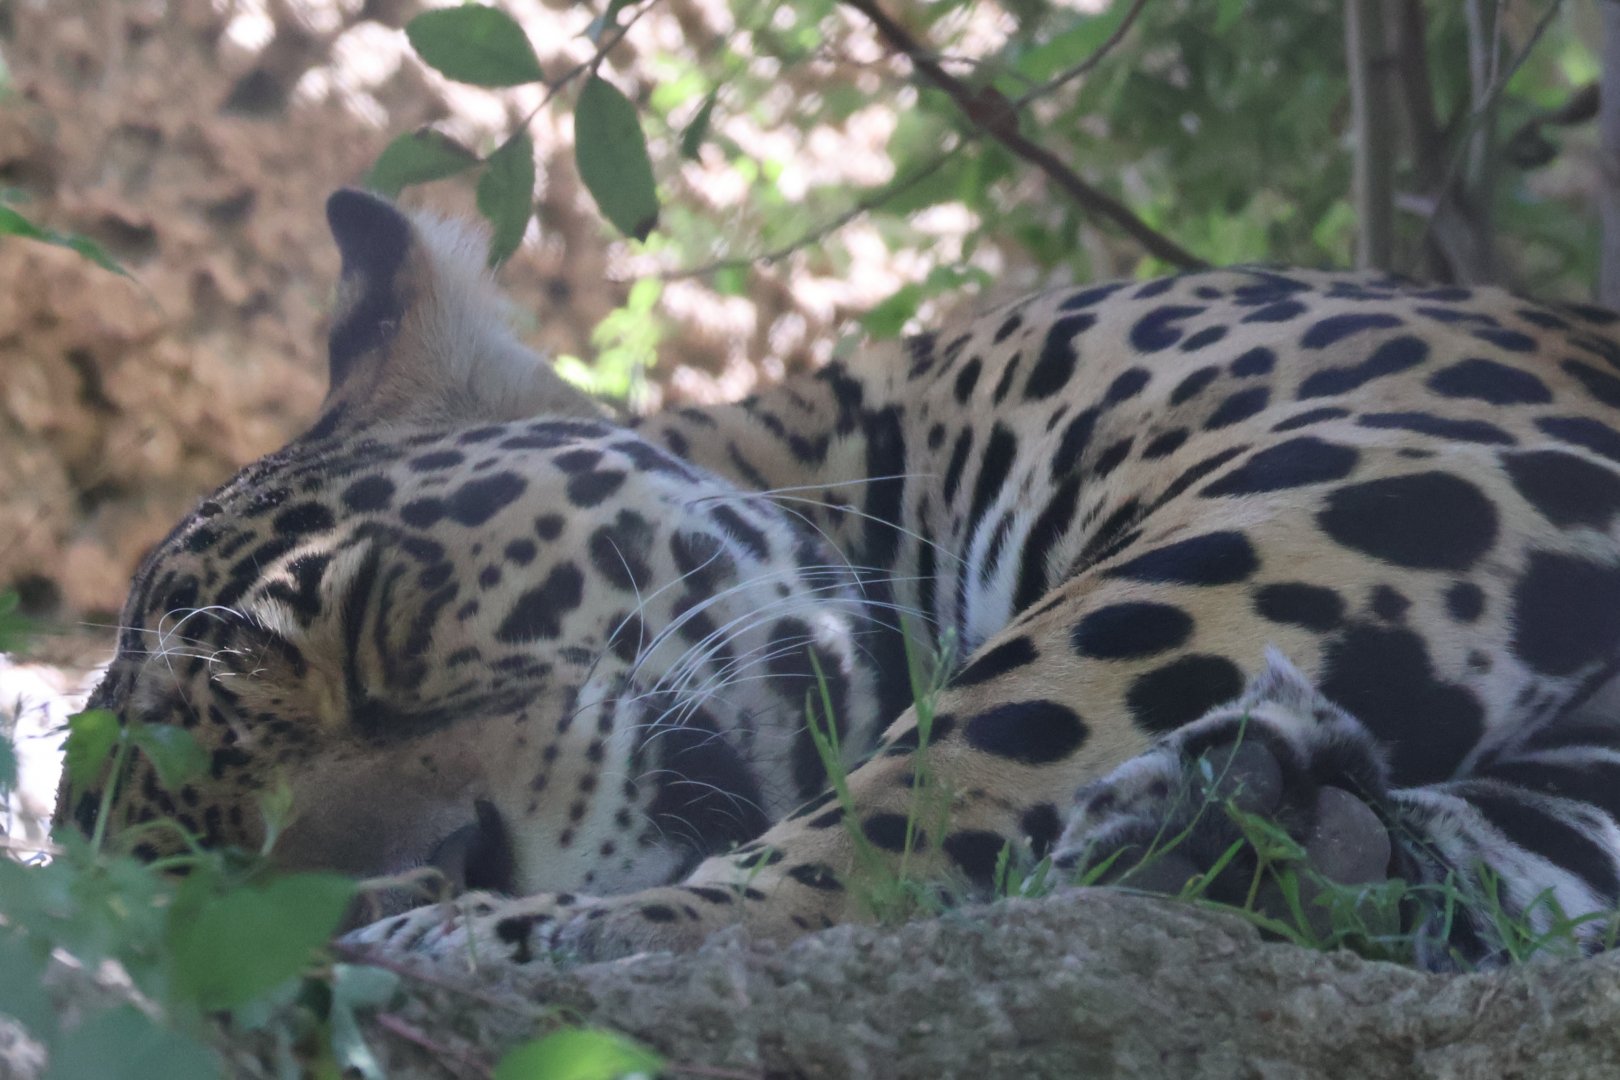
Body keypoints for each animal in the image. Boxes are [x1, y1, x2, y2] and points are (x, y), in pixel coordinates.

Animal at [60, 187, 1620, 973]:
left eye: (371, 630)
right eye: (210, 876)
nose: (449, 861)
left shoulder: (1403, 440)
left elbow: (973, 747)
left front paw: (589, 929)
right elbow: (1544, 858)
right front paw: (1296, 840)